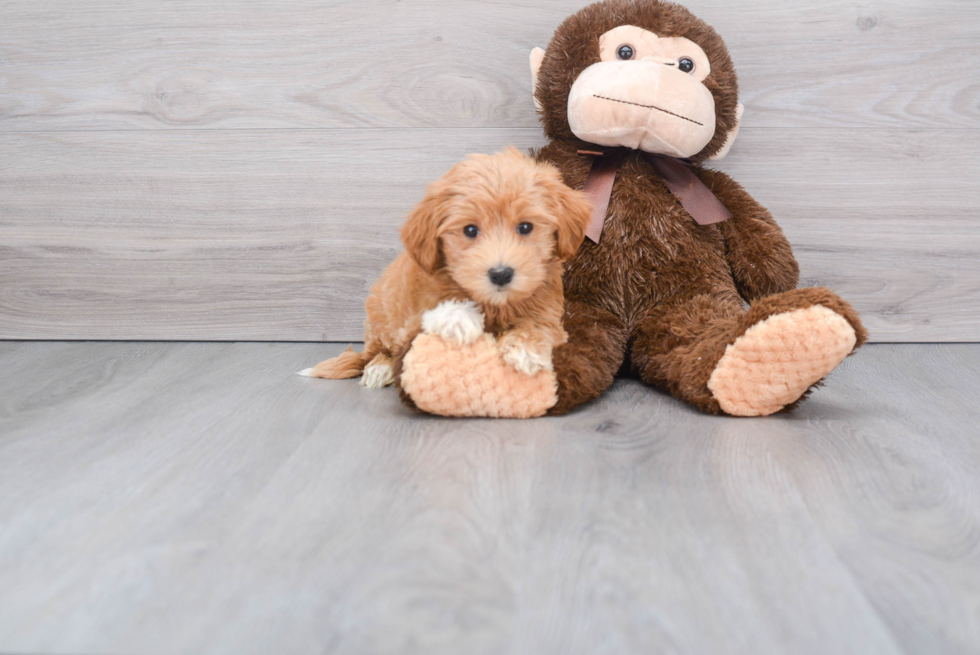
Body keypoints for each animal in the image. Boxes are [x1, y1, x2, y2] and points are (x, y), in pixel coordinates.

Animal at [298, 147, 588, 390]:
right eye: (470, 230)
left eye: (525, 227)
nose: (500, 274)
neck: (494, 305)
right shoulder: (412, 323)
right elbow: (431, 317)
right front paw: (458, 319)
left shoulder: (550, 315)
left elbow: (538, 326)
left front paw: (525, 349)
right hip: (380, 320)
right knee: (379, 351)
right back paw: (379, 368)